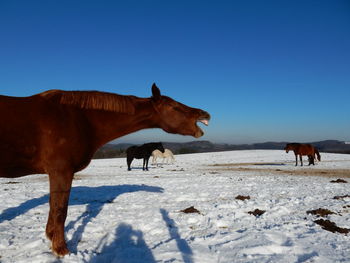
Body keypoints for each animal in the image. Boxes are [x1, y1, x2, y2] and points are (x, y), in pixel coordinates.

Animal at [0, 84, 211, 258]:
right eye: (174, 107)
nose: (205, 114)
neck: (77, 118)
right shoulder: (61, 171)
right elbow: (60, 210)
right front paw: (61, 250)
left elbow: (55, 207)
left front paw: (51, 239)